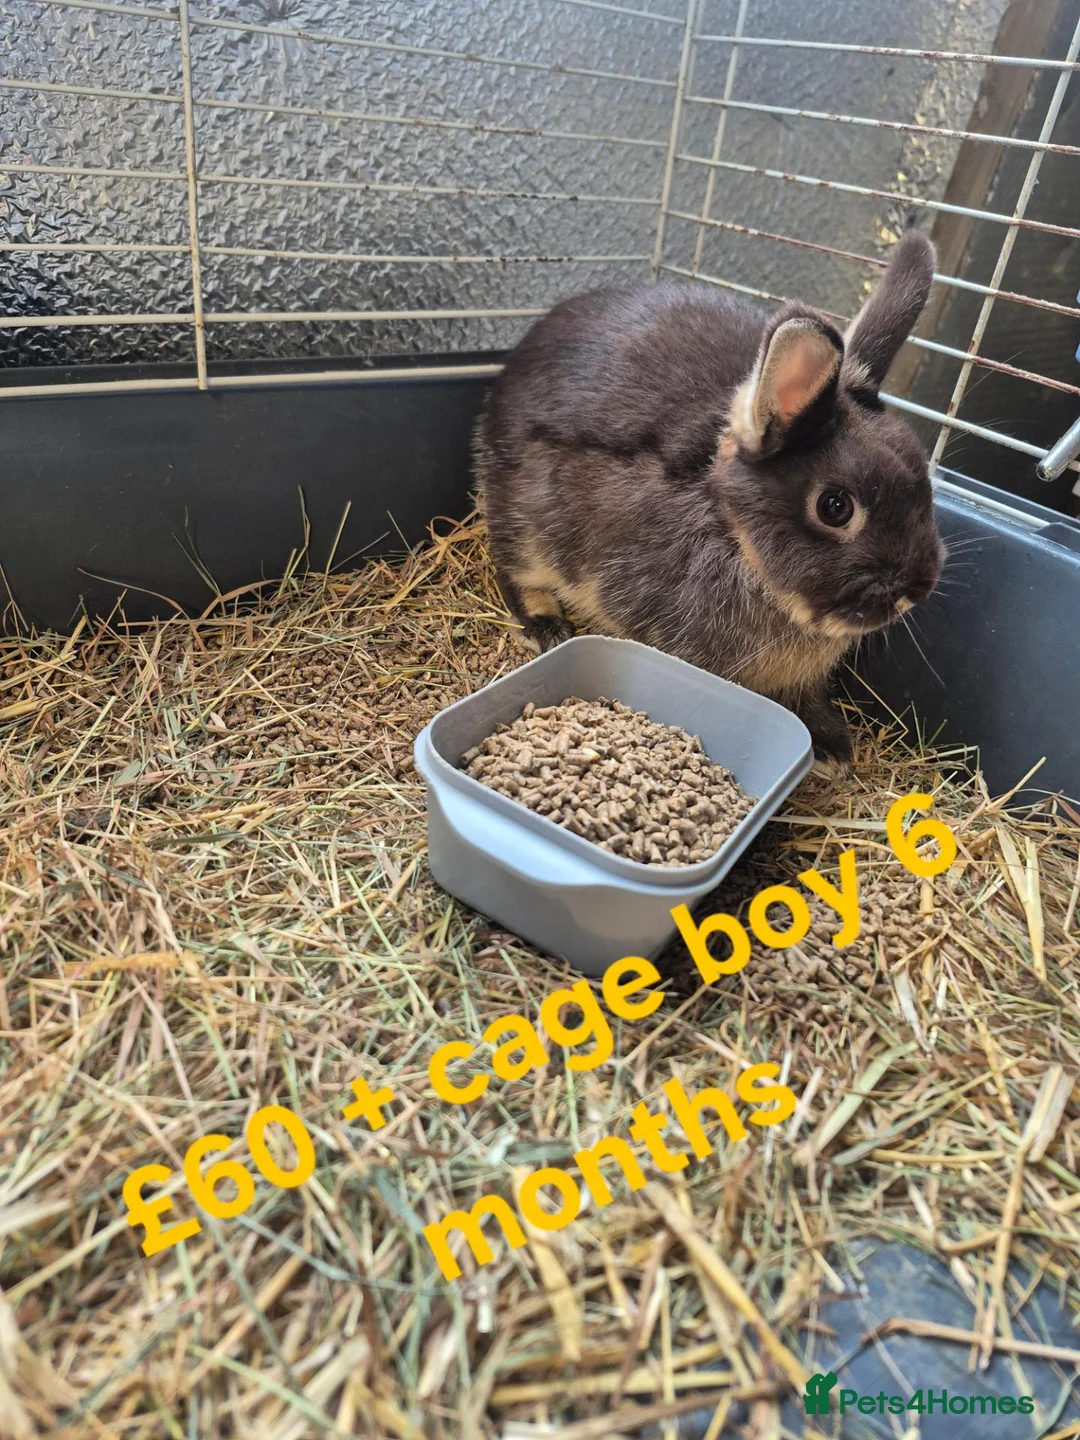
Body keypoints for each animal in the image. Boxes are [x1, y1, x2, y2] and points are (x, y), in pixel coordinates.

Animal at [474, 228, 944, 764]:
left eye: (923, 477)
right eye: (835, 507)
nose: (918, 588)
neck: (735, 536)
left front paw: (831, 748)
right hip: (525, 520)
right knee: (513, 569)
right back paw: (547, 626)